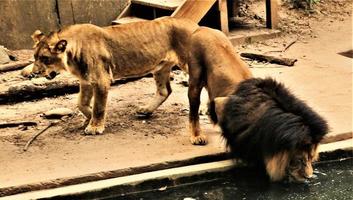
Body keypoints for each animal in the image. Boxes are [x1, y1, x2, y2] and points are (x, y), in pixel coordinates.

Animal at [30, 17, 198, 135]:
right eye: (35, 57)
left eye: (45, 58)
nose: (34, 73)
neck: (71, 57)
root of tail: (195, 25)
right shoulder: (85, 80)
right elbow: (81, 103)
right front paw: (88, 118)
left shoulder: (101, 80)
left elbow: (99, 106)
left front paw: (94, 127)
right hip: (160, 67)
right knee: (164, 91)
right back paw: (145, 110)